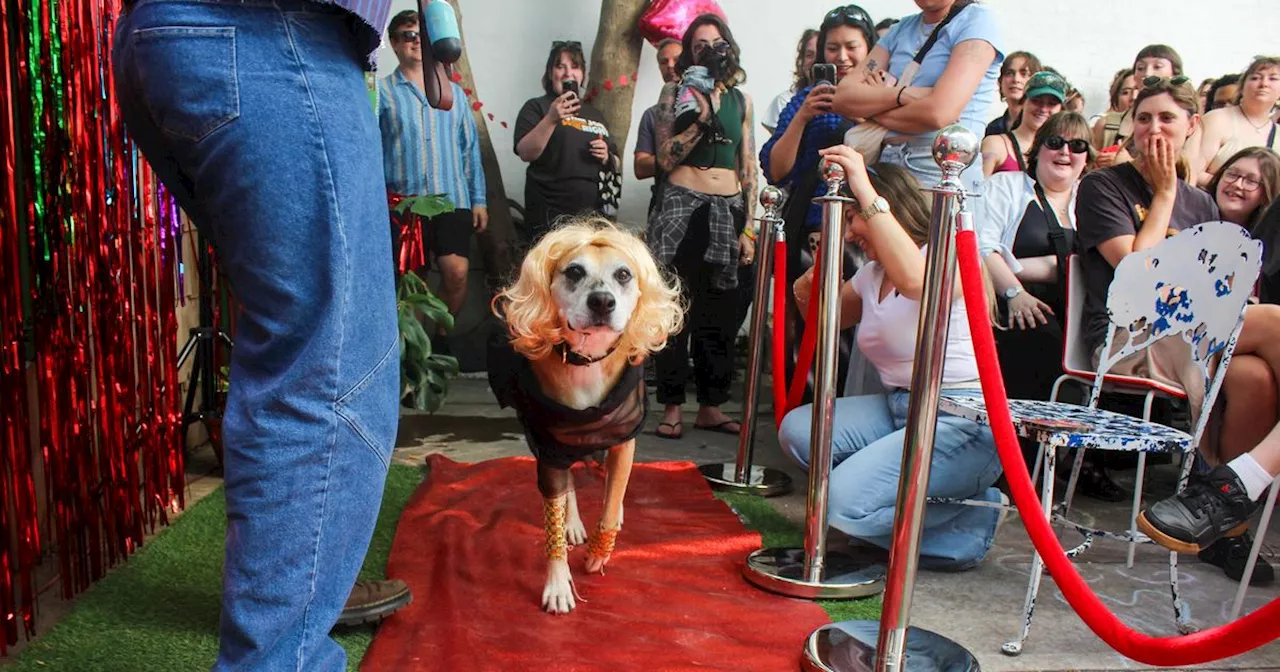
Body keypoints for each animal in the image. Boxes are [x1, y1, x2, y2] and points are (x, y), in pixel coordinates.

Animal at [486, 217, 686, 609]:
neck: (587, 358)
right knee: (568, 485)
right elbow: (556, 502)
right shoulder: (549, 447)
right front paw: (558, 582)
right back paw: (573, 523)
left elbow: (613, 494)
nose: (602, 301)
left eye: (623, 274)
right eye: (574, 271)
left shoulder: (623, 439)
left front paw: (599, 551)